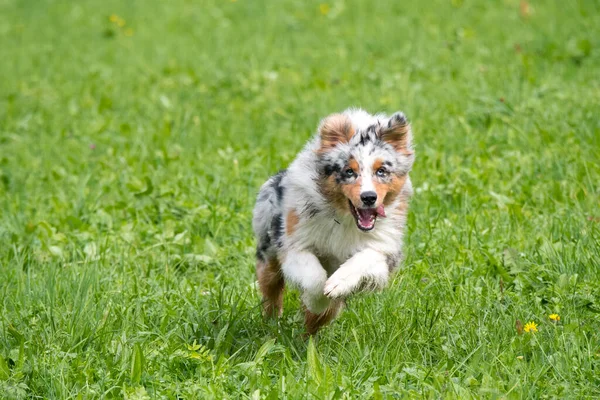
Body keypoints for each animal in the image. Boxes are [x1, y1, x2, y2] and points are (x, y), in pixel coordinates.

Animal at [251, 108, 414, 332]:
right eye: (349, 171)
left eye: (381, 171)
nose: (369, 197)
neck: (345, 219)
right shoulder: (294, 244)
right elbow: (314, 279)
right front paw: (317, 300)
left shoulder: (385, 251)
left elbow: (364, 259)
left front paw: (337, 284)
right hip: (269, 252)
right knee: (271, 291)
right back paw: (272, 325)